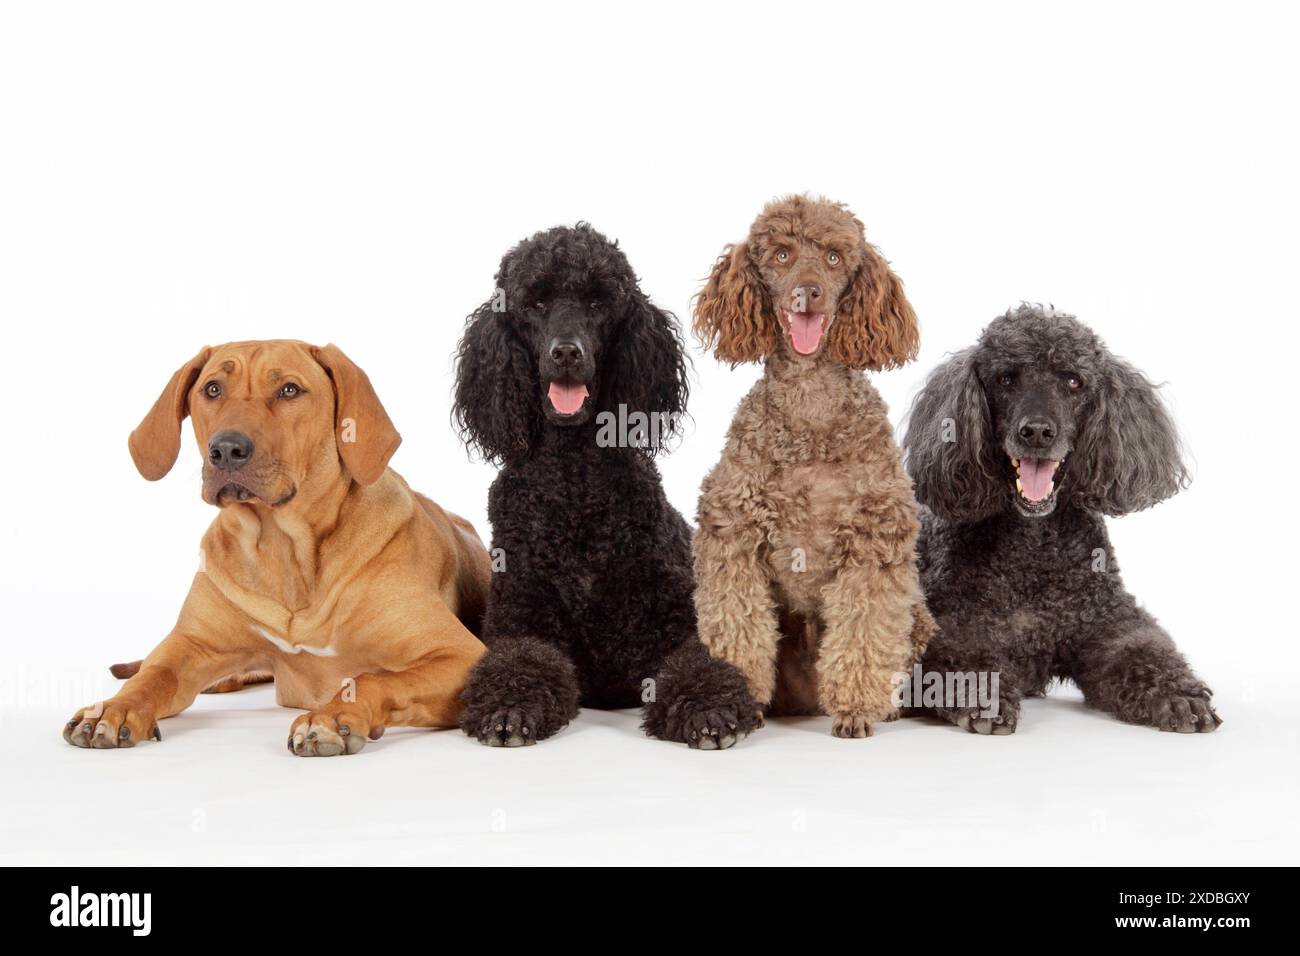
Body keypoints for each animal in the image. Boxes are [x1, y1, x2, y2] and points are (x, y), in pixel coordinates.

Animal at [62, 343, 488, 754]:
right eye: (212, 389)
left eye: (289, 390)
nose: (226, 449)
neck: (283, 548)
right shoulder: (190, 644)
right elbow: (154, 674)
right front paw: (115, 707)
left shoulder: (460, 655)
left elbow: (372, 680)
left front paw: (332, 717)